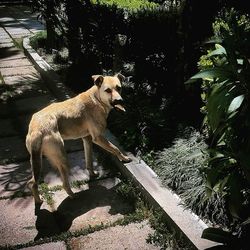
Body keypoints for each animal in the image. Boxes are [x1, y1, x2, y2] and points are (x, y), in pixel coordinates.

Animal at [25, 73, 131, 203]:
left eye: (119, 88)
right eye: (108, 90)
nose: (119, 100)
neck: (97, 99)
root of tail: (36, 129)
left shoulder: (87, 139)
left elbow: (89, 161)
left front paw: (93, 174)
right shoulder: (98, 138)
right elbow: (115, 148)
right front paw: (124, 158)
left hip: (36, 160)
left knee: (31, 182)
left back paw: (38, 200)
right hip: (62, 159)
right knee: (64, 184)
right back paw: (73, 196)